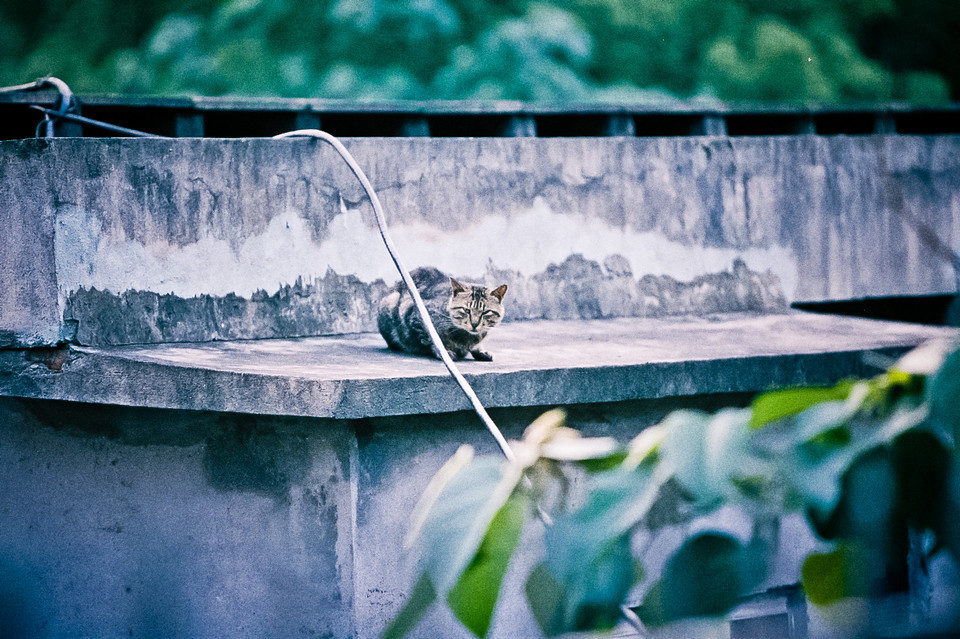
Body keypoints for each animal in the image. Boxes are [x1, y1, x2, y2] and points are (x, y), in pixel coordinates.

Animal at [376, 268, 506, 362]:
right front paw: (444, 352)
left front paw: (480, 351)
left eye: (485, 312)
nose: (474, 324)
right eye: (466, 310)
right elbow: (432, 339)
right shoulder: (417, 316)